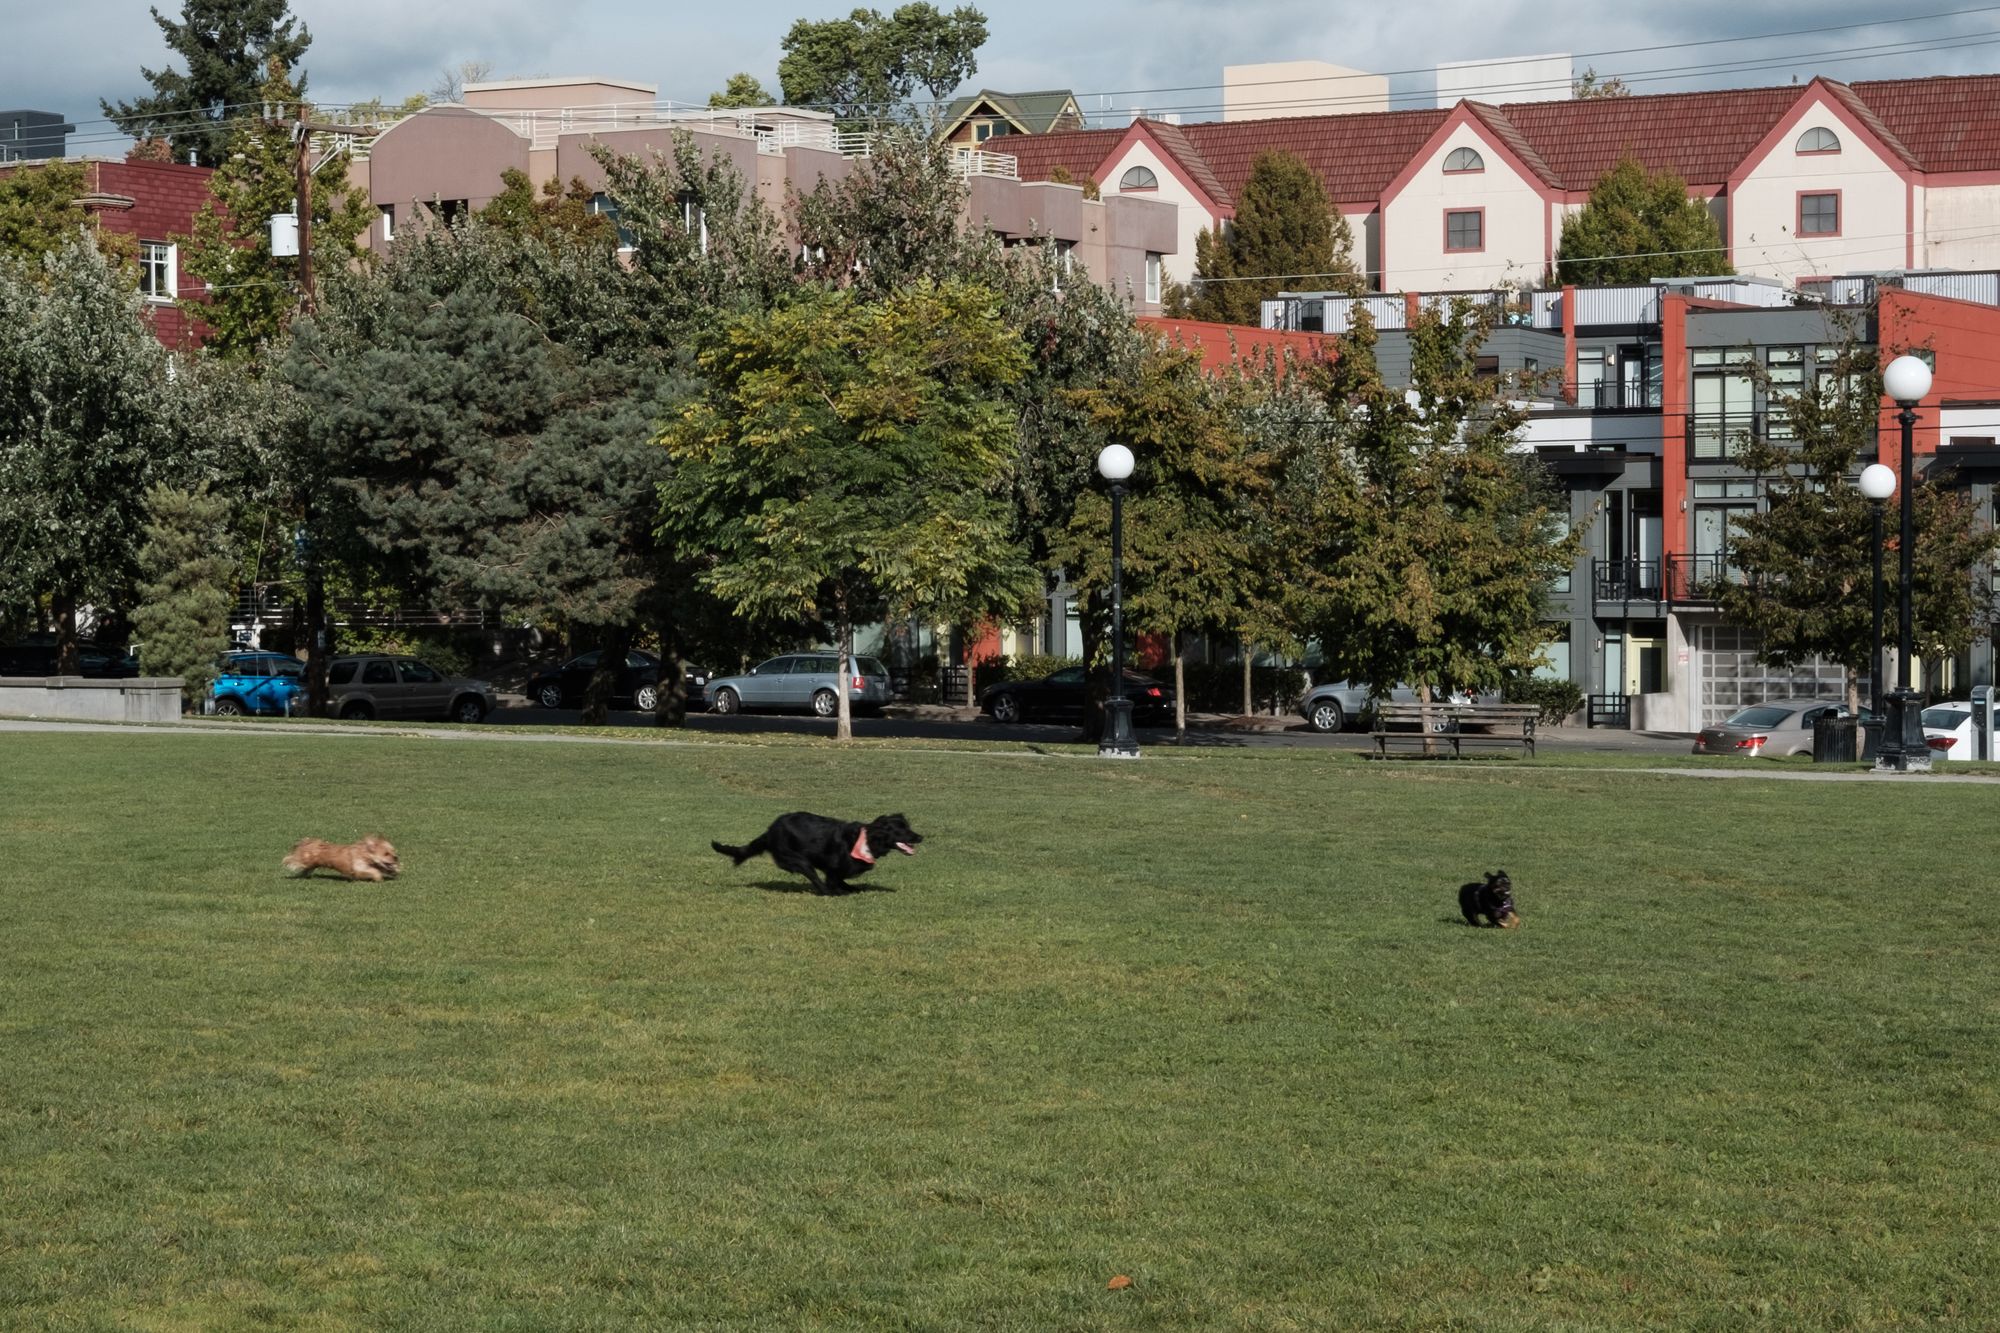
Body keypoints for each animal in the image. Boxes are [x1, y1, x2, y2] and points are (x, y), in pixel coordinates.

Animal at [712, 808, 920, 892]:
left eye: (908, 827)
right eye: (901, 830)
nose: (920, 837)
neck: (867, 839)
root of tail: (770, 831)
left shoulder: (835, 869)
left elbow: (841, 880)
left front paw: (852, 888)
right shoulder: (833, 867)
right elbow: (834, 880)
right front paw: (841, 890)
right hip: (798, 860)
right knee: (815, 879)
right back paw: (828, 892)